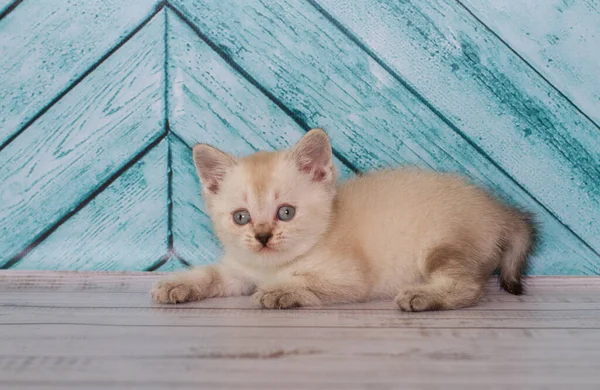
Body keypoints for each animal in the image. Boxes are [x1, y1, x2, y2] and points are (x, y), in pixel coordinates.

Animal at [154, 129, 536, 312]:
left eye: (286, 212)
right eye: (241, 217)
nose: (262, 237)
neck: (272, 265)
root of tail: (499, 208)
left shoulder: (350, 279)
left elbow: (303, 281)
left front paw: (279, 291)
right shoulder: (238, 270)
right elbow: (211, 275)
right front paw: (177, 284)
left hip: (441, 246)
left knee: (469, 288)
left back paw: (422, 297)